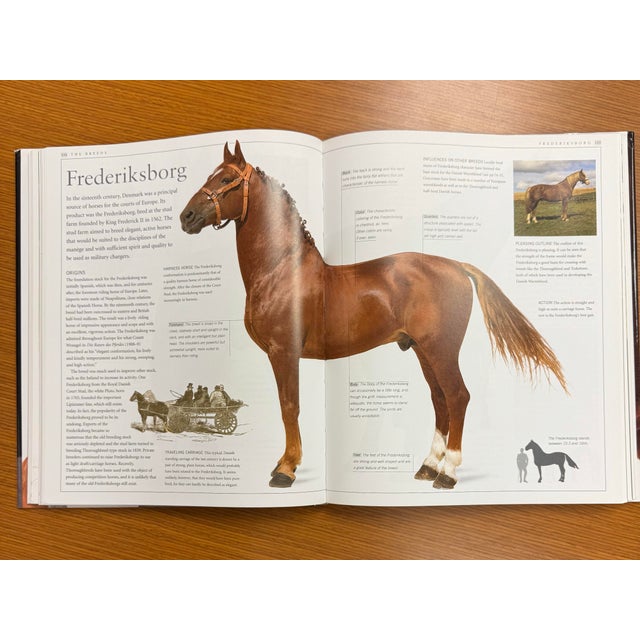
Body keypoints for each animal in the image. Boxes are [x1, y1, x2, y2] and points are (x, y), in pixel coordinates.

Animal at [179, 141, 567, 489]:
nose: (186, 217)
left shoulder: (284, 352)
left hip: (441, 349)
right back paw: (427, 466)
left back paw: (447, 473)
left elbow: (289, 406)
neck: (281, 271)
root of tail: (456, 265)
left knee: (458, 397)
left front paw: (285, 469)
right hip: (423, 351)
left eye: (226, 179)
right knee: (440, 400)